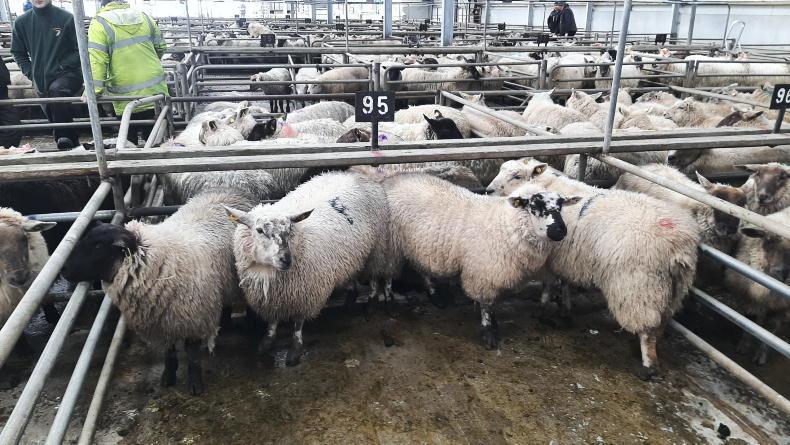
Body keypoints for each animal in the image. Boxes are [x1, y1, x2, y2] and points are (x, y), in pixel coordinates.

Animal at [61, 190, 256, 395]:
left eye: (98, 246)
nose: (63, 270)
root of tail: (225, 192)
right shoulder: (162, 320)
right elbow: (168, 352)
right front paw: (168, 376)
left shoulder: (194, 317)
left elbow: (192, 355)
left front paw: (195, 383)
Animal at [224, 173, 391, 365]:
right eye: (259, 230)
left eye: (289, 229)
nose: (286, 260)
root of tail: (354, 174)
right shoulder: (273, 297)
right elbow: (273, 321)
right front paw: (267, 341)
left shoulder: (306, 293)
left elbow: (298, 323)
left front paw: (294, 350)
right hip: (352, 254)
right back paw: (350, 300)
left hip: (378, 248)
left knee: (374, 277)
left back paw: (368, 304)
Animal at [382, 172, 580, 349]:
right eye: (534, 205)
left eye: (561, 205)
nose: (560, 230)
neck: (505, 224)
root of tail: (389, 180)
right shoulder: (483, 273)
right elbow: (486, 305)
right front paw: (488, 333)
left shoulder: (494, 273)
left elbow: (493, 302)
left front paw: (494, 322)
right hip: (391, 244)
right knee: (387, 275)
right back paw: (390, 303)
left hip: (416, 245)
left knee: (421, 268)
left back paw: (435, 296)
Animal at [487, 159, 700, 378]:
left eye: (517, 176)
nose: (488, 190)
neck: (546, 186)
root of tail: (678, 246)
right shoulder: (566, 258)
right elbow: (564, 283)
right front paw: (565, 310)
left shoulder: (551, 258)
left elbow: (548, 284)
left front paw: (544, 308)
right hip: (672, 288)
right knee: (661, 322)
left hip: (639, 285)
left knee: (647, 330)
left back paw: (649, 366)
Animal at [724, 208, 790, 365]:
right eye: (767, 239)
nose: (781, 272)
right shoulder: (748, 299)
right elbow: (750, 322)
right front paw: (743, 346)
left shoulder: (778, 308)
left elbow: (768, 332)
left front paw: (761, 355)